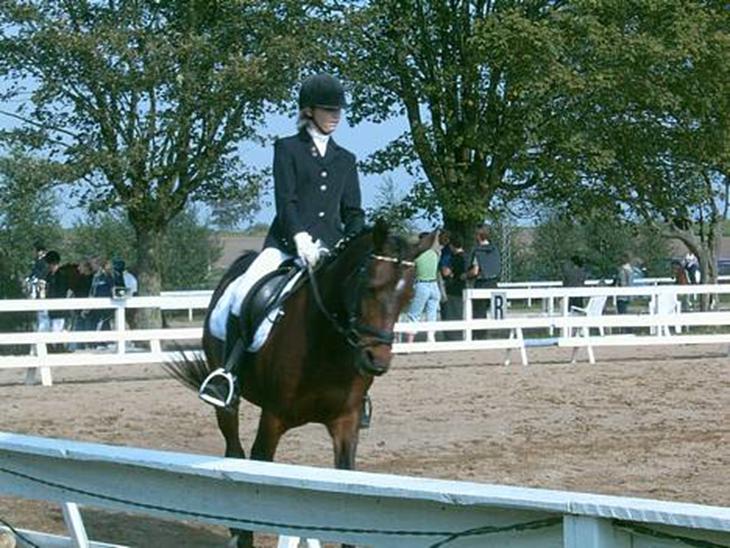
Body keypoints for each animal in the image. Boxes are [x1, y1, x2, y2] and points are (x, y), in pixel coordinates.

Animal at [166, 221, 431, 547]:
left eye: (408, 296)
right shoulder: (273, 418)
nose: (376, 361)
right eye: (370, 286)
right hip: (227, 403)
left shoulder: (346, 422)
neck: (326, 342)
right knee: (234, 450)